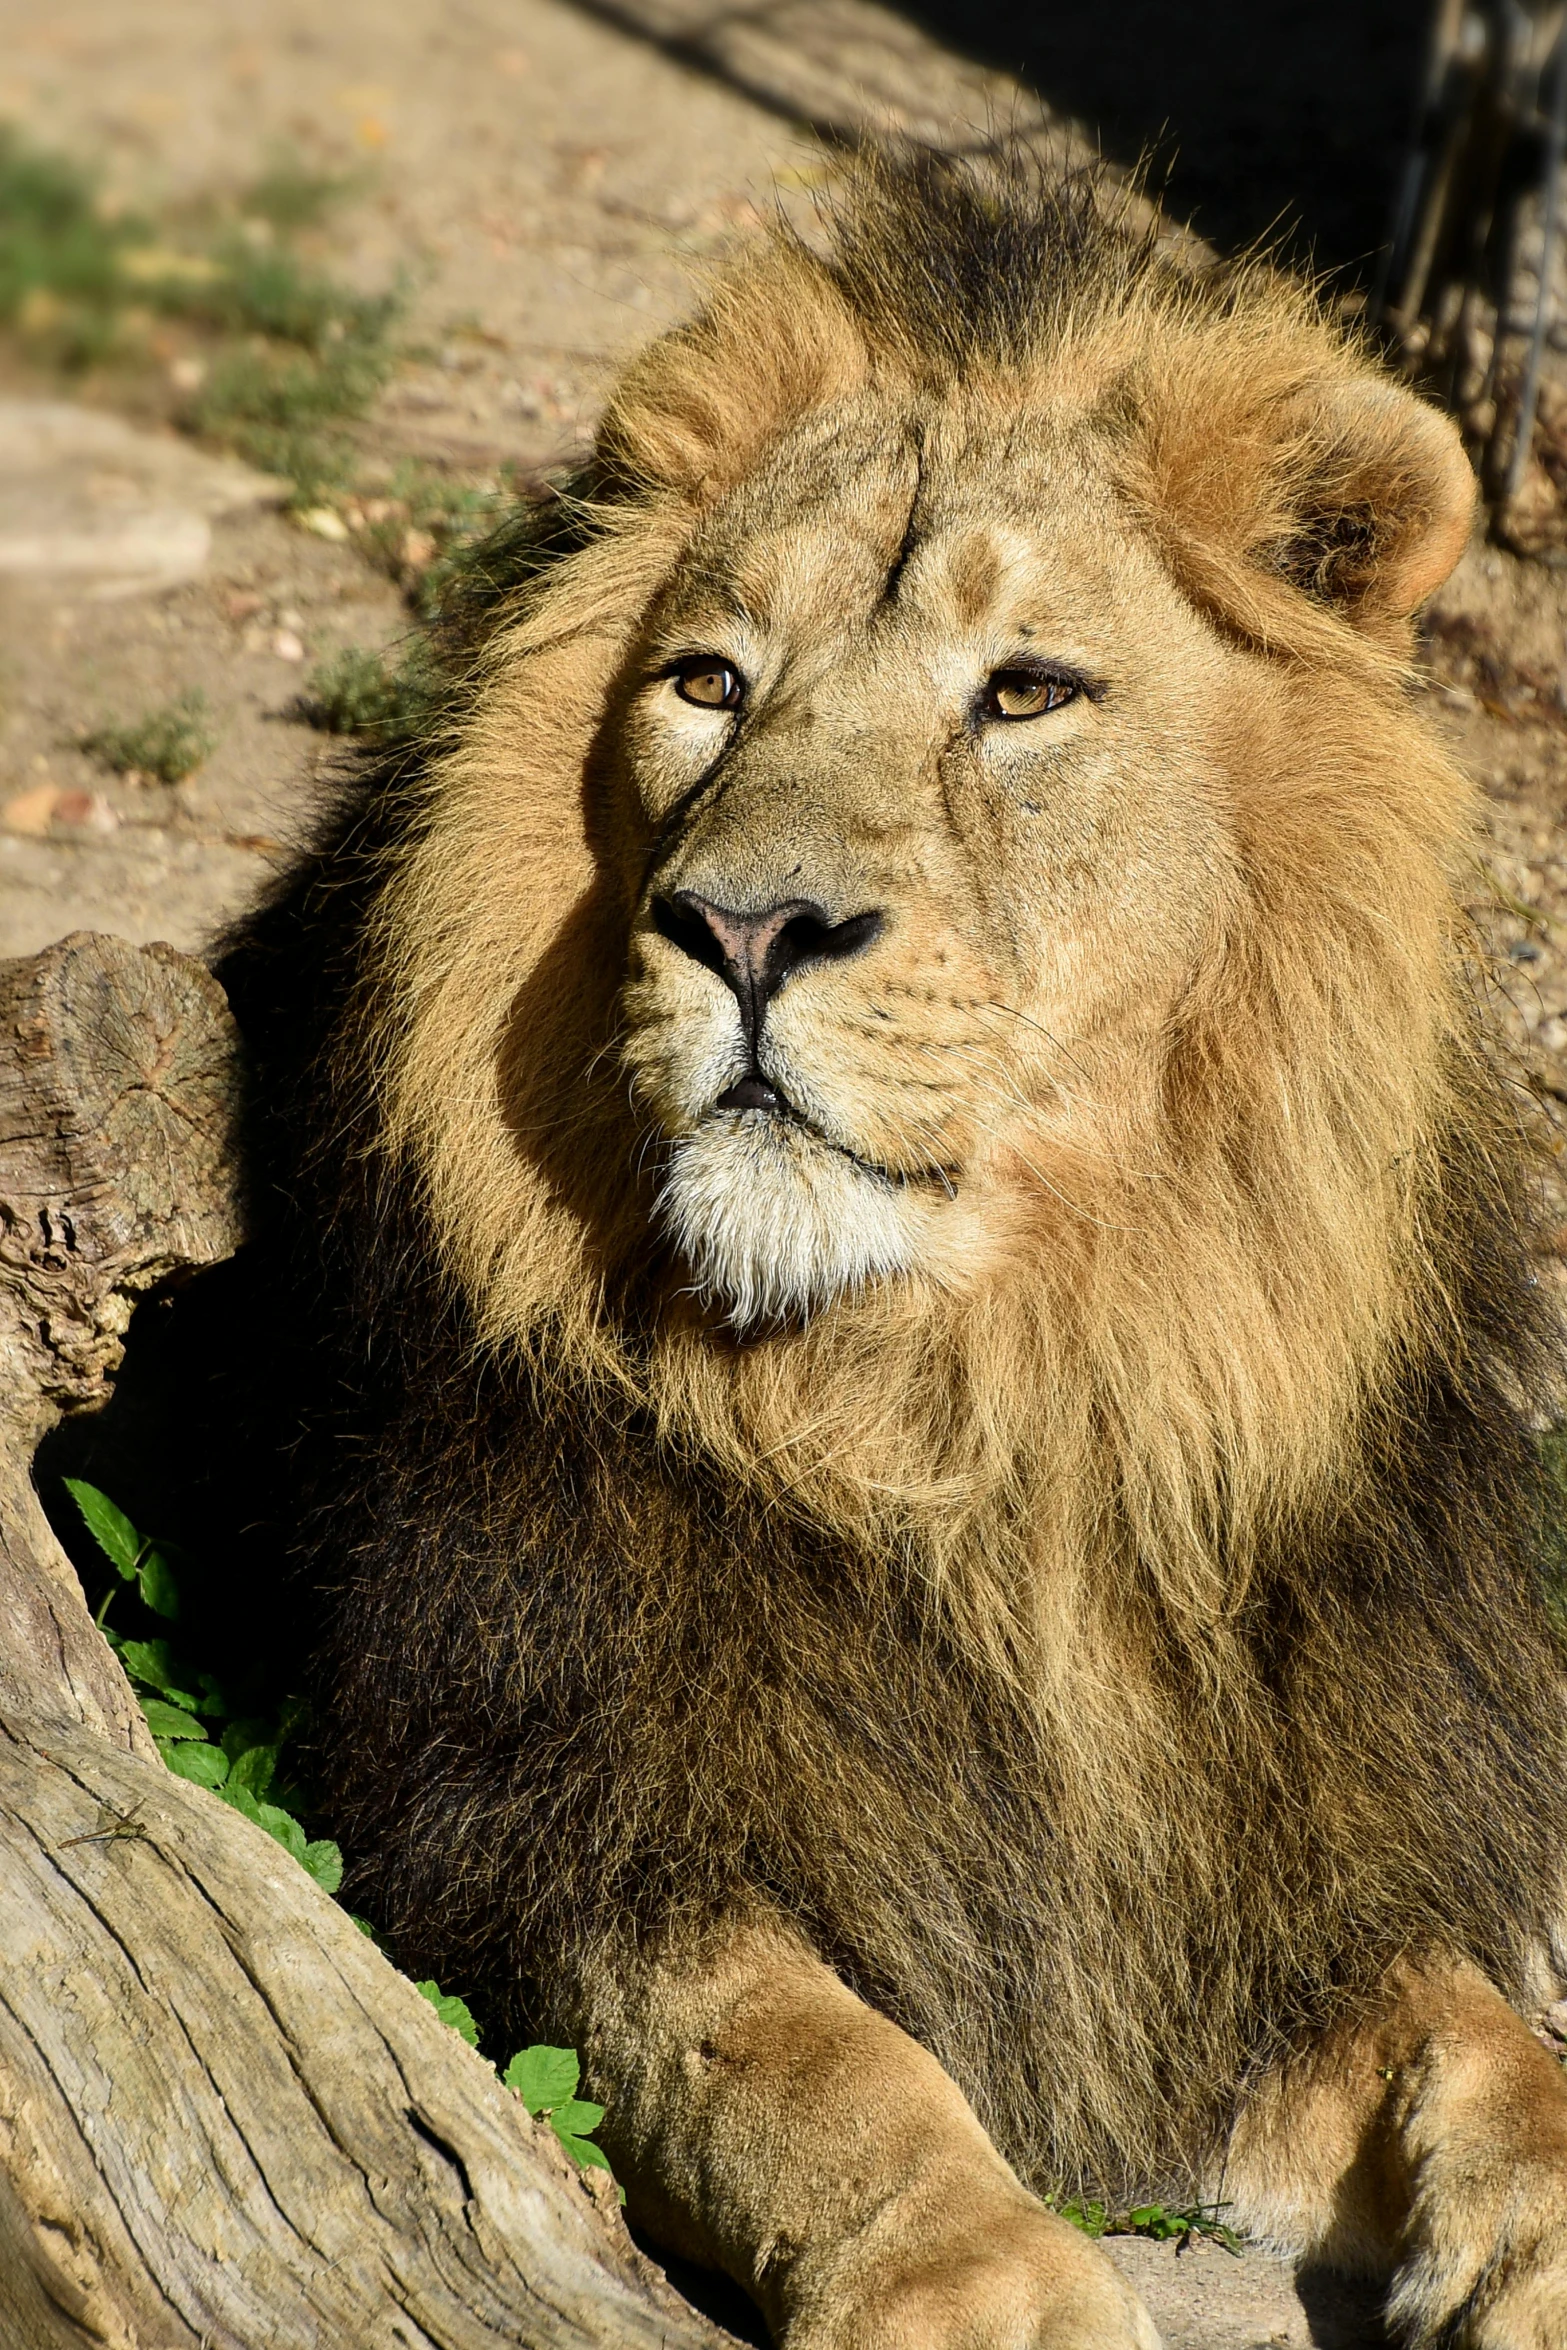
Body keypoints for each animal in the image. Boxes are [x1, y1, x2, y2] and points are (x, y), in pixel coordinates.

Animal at [223, 156, 1567, 2340]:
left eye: (1021, 692)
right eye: (707, 684)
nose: (744, 925)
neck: (989, 1410)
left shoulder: (1289, 1906)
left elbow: (1495, 2044)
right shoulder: (559, 1821)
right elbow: (807, 2054)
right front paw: (987, 2281)